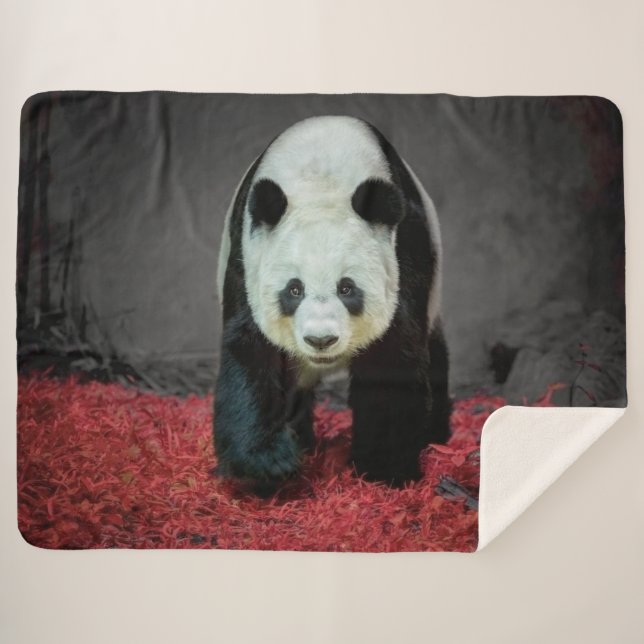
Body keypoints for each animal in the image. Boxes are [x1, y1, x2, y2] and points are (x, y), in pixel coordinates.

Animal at [214, 115, 450, 490]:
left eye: (347, 289)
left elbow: (393, 353)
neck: (320, 178)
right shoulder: (247, 257)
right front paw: (266, 463)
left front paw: (385, 468)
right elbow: (250, 350)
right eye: (294, 290)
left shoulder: (403, 252)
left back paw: (436, 433)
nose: (321, 339)